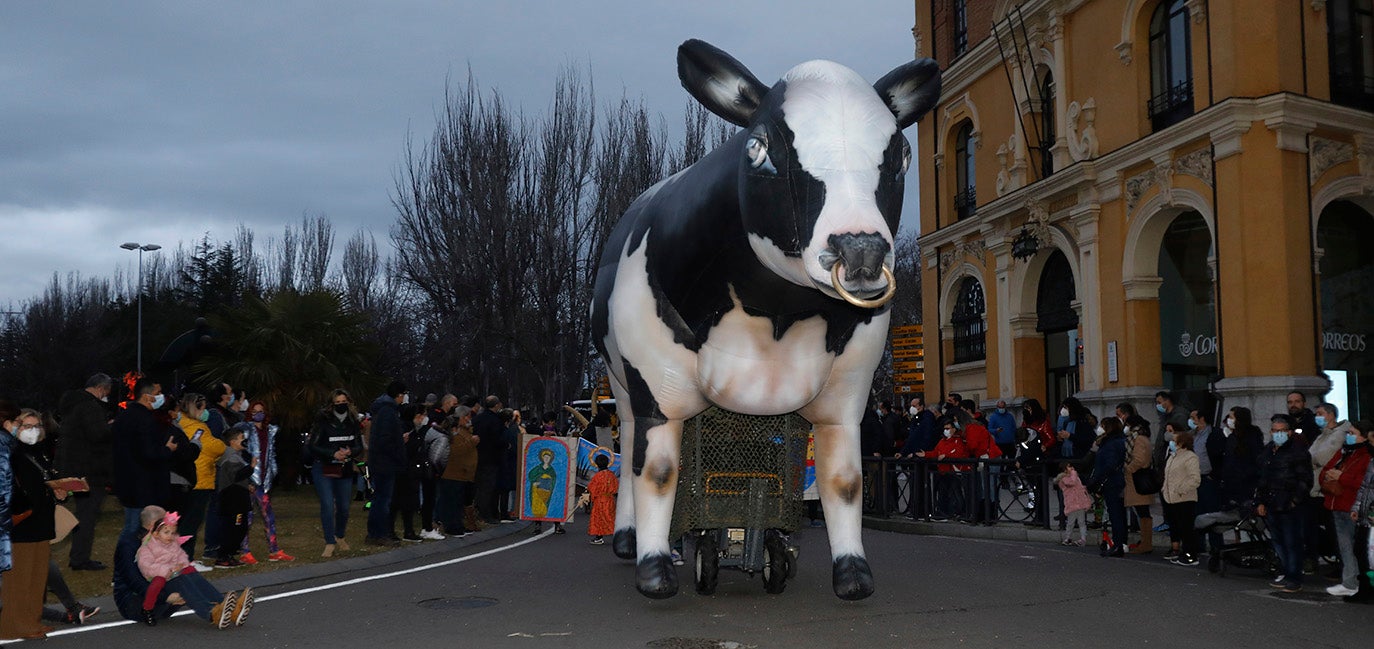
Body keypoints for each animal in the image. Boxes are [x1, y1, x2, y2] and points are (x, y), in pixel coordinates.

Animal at [590, 39, 934, 599]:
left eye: (902, 155)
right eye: (757, 148)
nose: (860, 249)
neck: (776, 315)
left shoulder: (849, 389)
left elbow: (844, 480)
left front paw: (852, 572)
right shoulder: (657, 383)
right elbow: (658, 471)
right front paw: (656, 568)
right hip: (620, 382)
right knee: (627, 450)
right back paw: (627, 540)